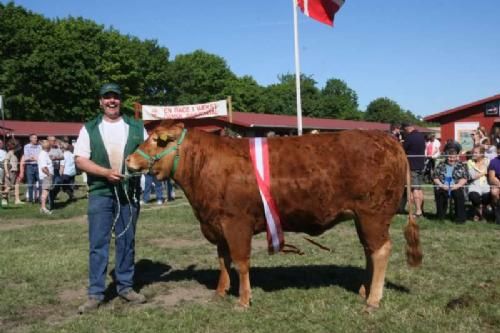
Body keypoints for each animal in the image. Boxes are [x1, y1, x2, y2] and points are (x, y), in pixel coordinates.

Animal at [126, 120, 422, 310]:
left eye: (157, 140)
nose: (129, 160)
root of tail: (388, 141)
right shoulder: (217, 225)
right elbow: (223, 260)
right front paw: (221, 291)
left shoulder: (236, 223)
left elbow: (241, 262)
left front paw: (243, 300)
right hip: (364, 218)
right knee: (369, 251)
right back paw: (364, 290)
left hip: (374, 214)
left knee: (381, 250)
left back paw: (373, 300)